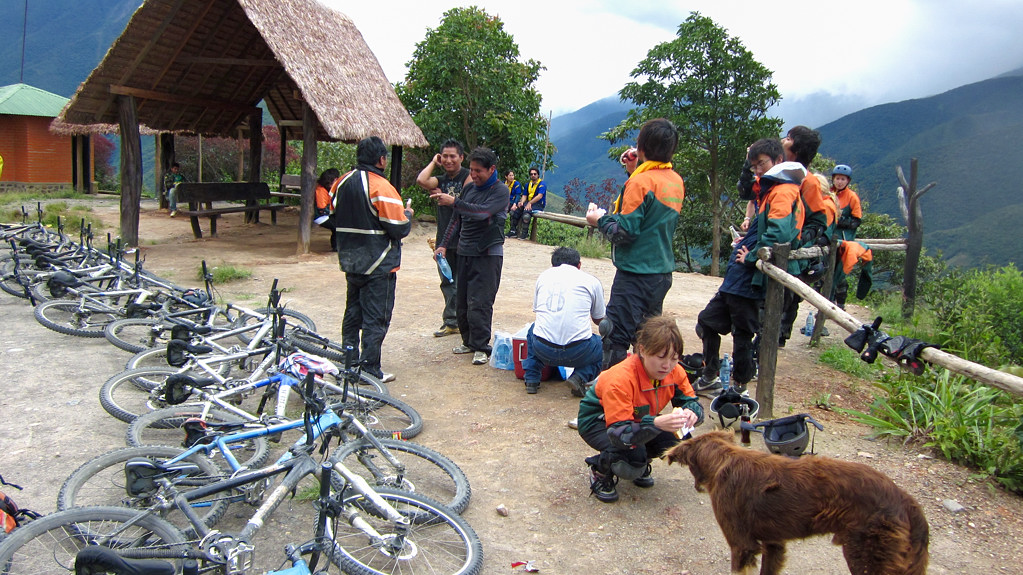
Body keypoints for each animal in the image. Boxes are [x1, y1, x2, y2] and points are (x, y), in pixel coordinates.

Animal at [662, 429, 928, 572]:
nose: (697, 487)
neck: (724, 458)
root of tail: (905, 499)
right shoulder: (773, 544)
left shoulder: (742, 545)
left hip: (865, 557)